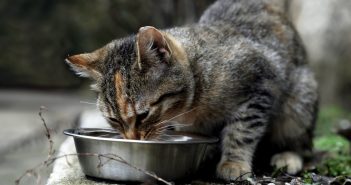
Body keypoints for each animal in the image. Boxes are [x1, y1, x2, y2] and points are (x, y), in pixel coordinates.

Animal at [65, 0, 320, 181]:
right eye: (114, 121)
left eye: (143, 115)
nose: (132, 139)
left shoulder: (259, 88)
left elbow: (241, 132)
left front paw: (233, 163)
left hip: (299, 101)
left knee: (302, 142)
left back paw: (289, 155)